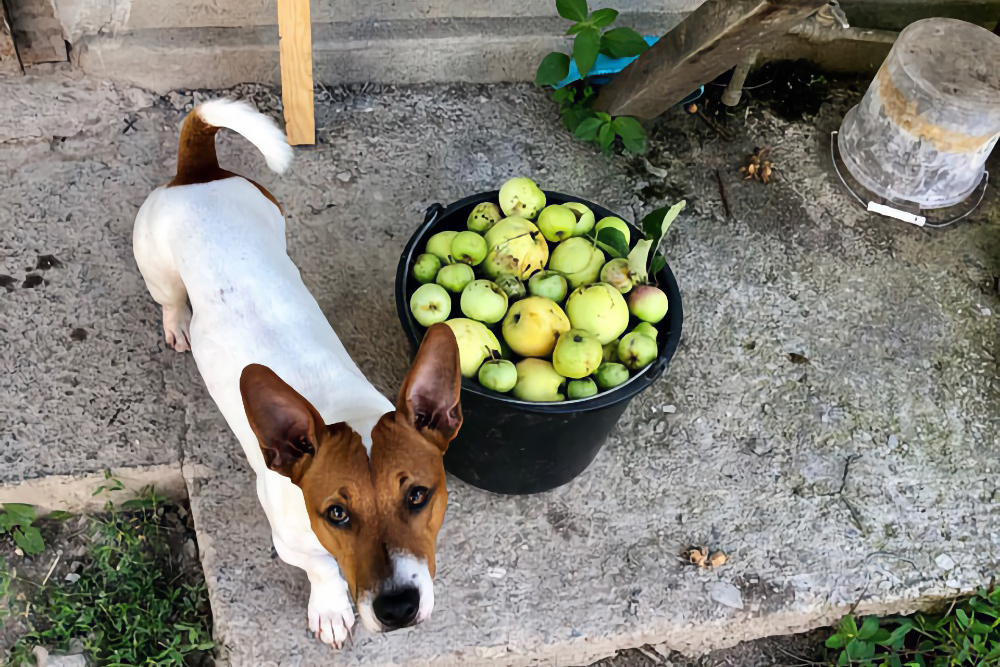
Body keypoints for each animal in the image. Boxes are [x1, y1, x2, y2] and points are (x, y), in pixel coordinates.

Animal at [132, 99, 460, 648]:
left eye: (417, 495)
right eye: (337, 513)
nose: (398, 608)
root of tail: (197, 174)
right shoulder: (290, 540)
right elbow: (321, 568)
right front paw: (330, 608)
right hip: (157, 268)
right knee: (171, 300)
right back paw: (178, 324)